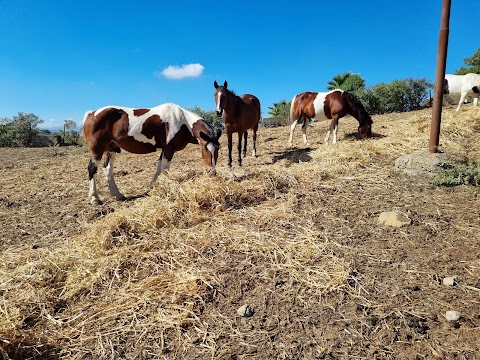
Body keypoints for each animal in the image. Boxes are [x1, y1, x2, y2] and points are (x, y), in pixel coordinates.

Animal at [83, 103, 222, 205]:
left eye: (218, 149)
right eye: (205, 149)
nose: (213, 173)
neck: (182, 121)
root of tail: (91, 113)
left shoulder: (164, 150)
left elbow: (158, 170)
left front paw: (151, 189)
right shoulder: (169, 150)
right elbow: (164, 170)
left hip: (111, 149)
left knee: (108, 169)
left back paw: (118, 195)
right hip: (97, 150)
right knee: (92, 168)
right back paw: (95, 199)